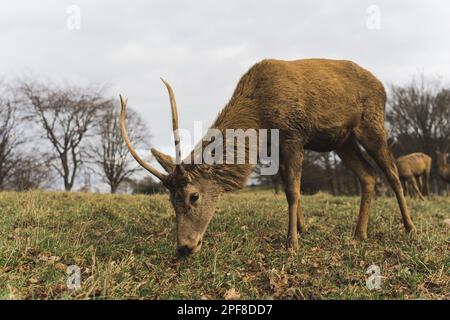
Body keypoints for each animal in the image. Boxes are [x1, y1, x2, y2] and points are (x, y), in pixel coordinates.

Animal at [118, 58, 414, 256]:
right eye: (170, 199)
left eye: (194, 195)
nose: (184, 247)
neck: (260, 119)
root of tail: (383, 87)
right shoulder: (277, 147)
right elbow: (287, 187)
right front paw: (302, 229)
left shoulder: (294, 135)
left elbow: (293, 191)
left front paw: (292, 242)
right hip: (343, 139)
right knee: (368, 175)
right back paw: (359, 233)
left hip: (371, 122)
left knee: (391, 172)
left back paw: (409, 226)